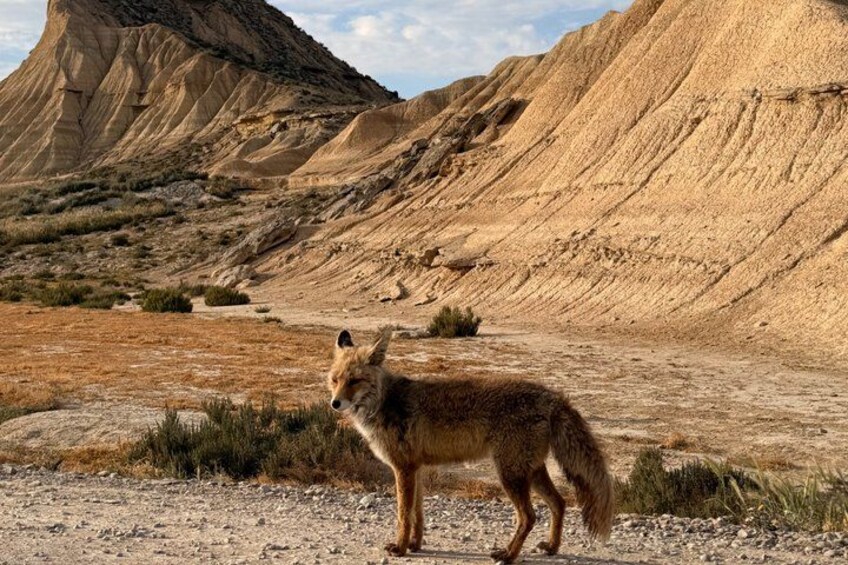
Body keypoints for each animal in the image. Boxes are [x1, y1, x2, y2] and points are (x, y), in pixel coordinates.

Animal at [327, 328, 614, 563]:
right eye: (335, 380)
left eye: (354, 381)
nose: (335, 403)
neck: (382, 402)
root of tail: (553, 396)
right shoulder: (415, 469)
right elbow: (417, 515)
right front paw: (415, 545)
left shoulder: (403, 468)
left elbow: (403, 515)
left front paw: (400, 548)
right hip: (530, 471)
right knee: (559, 503)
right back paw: (552, 548)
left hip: (510, 475)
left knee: (529, 517)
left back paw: (508, 555)